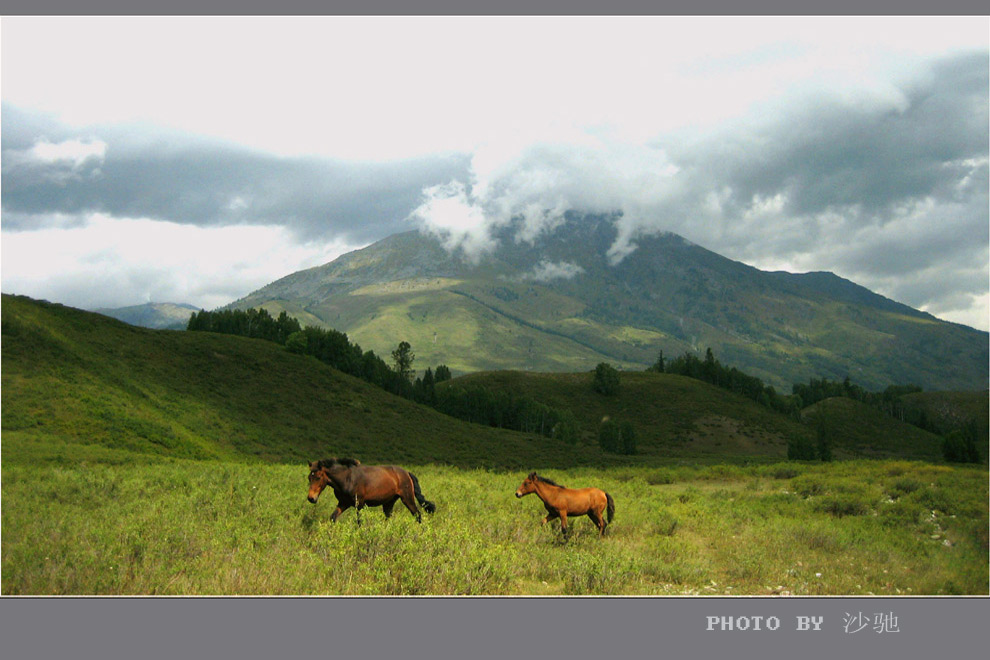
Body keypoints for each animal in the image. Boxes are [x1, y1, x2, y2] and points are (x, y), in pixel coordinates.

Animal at [308, 462, 436, 524]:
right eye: (309, 477)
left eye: (318, 477)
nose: (311, 498)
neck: (347, 479)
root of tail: (407, 473)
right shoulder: (343, 503)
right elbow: (333, 518)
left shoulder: (359, 504)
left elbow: (359, 521)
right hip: (388, 503)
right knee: (388, 518)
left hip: (407, 499)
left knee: (417, 515)